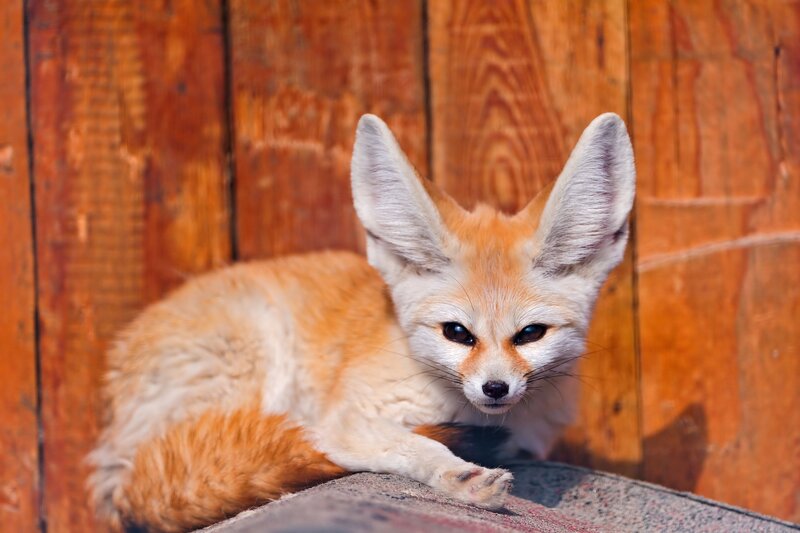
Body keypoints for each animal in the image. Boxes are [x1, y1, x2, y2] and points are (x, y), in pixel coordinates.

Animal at [88, 112, 635, 532]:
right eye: (457, 333)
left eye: (530, 334)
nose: (495, 388)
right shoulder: (342, 421)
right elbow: (414, 445)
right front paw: (461, 478)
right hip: (254, 365)